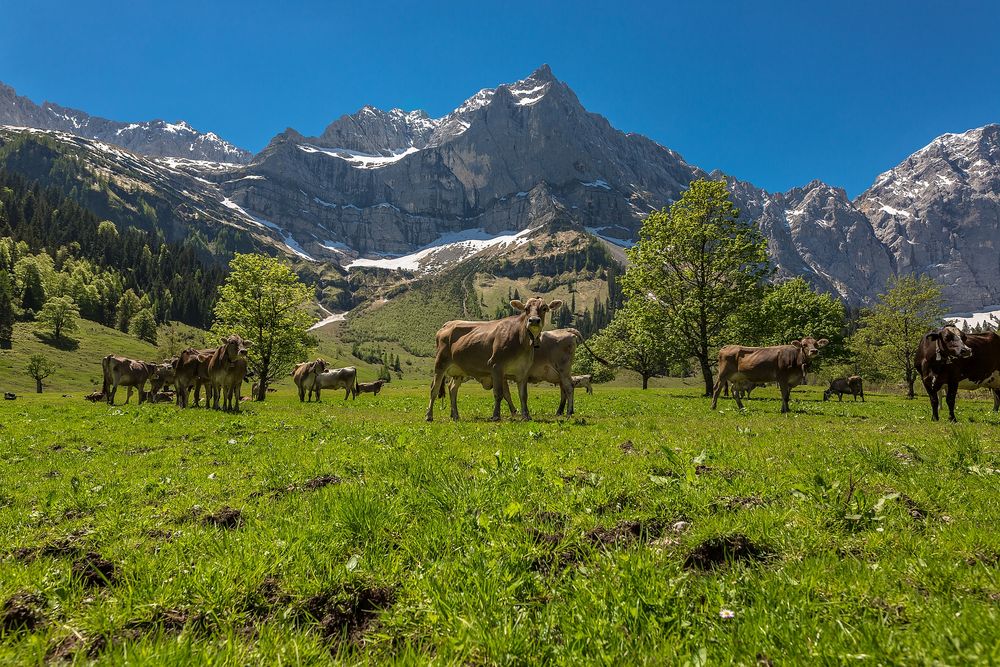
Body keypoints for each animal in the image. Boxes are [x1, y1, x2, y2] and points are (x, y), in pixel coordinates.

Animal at [426, 294, 564, 420]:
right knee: (434, 389)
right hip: (440, 363)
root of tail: (448, 324)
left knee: (453, 389)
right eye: (526, 309)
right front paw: (496, 415)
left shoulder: (523, 371)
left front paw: (526, 416)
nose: (534, 320)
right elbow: (499, 393)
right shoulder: (496, 365)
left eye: (544, 308)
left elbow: (523, 395)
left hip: (459, 370)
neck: (521, 341)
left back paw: (455, 415)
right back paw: (429, 415)